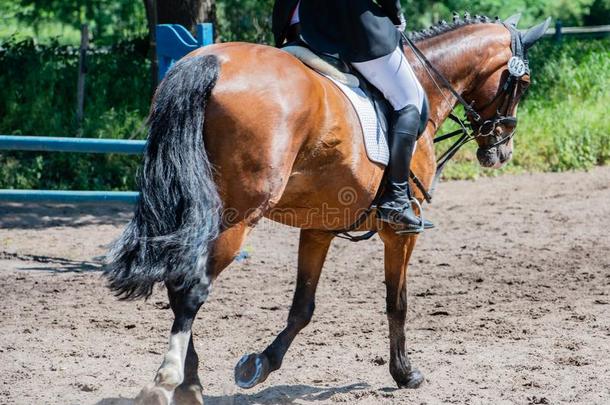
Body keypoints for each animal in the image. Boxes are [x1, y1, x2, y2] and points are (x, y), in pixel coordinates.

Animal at [105, 14, 552, 402]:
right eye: (524, 83)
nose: (501, 151)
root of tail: (210, 61)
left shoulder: (318, 228)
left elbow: (302, 308)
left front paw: (259, 364)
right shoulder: (401, 232)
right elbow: (397, 303)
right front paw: (405, 373)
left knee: (178, 280)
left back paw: (191, 383)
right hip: (235, 217)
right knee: (190, 287)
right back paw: (170, 382)